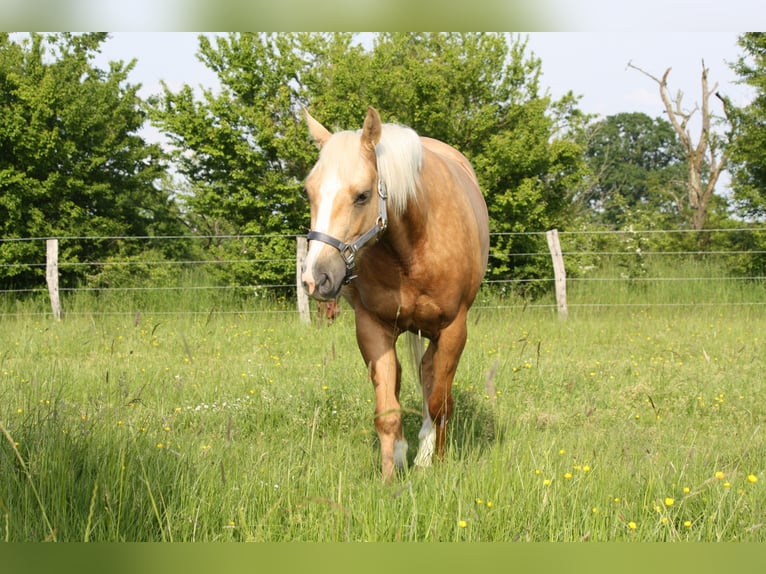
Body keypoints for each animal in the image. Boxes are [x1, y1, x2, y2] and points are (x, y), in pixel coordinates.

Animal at [302, 104, 488, 482]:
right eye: (308, 192)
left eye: (362, 195)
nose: (316, 278)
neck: (413, 248)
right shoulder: (372, 327)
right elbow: (387, 409)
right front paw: (390, 475)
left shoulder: (453, 330)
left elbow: (439, 403)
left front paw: (437, 463)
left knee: (431, 380)